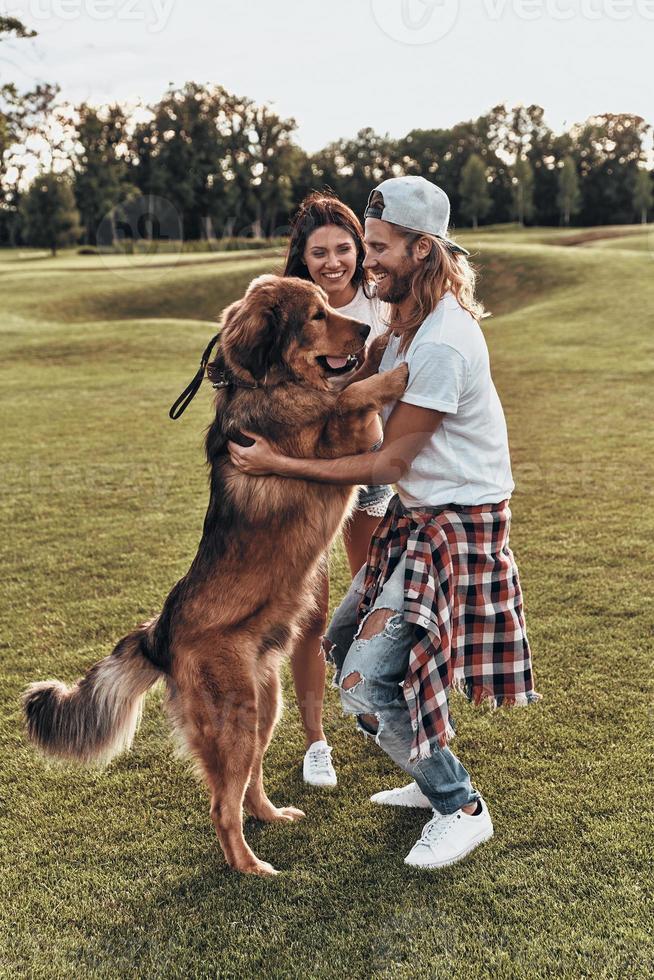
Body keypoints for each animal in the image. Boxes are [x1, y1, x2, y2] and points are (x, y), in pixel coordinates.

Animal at [23, 272, 408, 876]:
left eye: (331, 306)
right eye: (316, 315)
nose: (367, 328)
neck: (268, 384)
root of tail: (157, 632)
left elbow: (348, 384)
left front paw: (379, 350)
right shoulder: (334, 442)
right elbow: (351, 393)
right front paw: (390, 368)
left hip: (263, 706)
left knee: (246, 787)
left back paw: (272, 817)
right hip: (234, 718)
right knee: (222, 806)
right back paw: (249, 867)